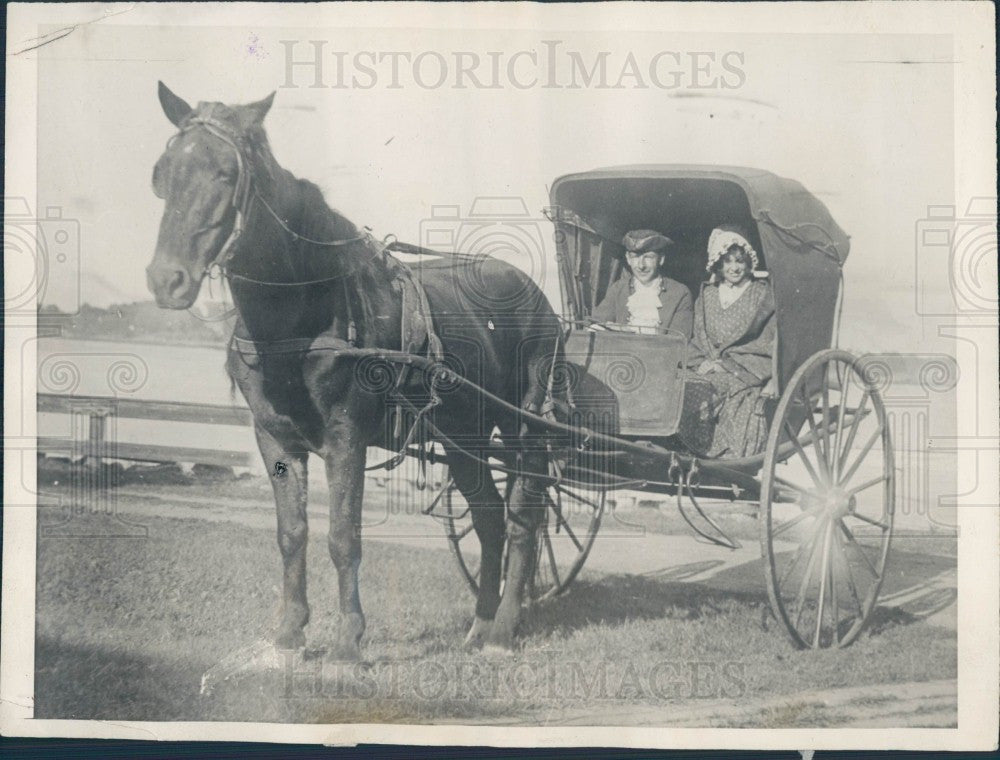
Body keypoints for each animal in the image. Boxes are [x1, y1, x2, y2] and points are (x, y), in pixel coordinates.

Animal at [146, 81, 564, 652]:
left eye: (226, 174)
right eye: (163, 173)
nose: (167, 279)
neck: (304, 314)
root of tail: (535, 293)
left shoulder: (346, 436)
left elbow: (343, 536)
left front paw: (347, 639)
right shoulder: (274, 438)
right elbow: (292, 534)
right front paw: (289, 631)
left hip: (524, 424)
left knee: (523, 517)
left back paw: (501, 629)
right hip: (463, 436)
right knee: (489, 518)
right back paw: (479, 624)